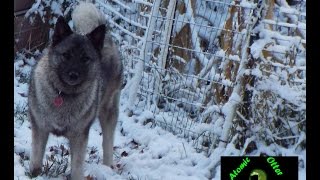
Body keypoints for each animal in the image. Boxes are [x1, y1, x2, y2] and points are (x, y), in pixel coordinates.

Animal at [27, 2, 122, 179]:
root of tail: (107, 39)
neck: (63, 94)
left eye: (85, 58)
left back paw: (107, 168)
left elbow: (77, 168)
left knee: (107, 142)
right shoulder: (40, 129)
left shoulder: (79, 137)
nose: (73, 74)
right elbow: (36, 159)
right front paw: (34, 175)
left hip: (108, 111)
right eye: (66, 55)